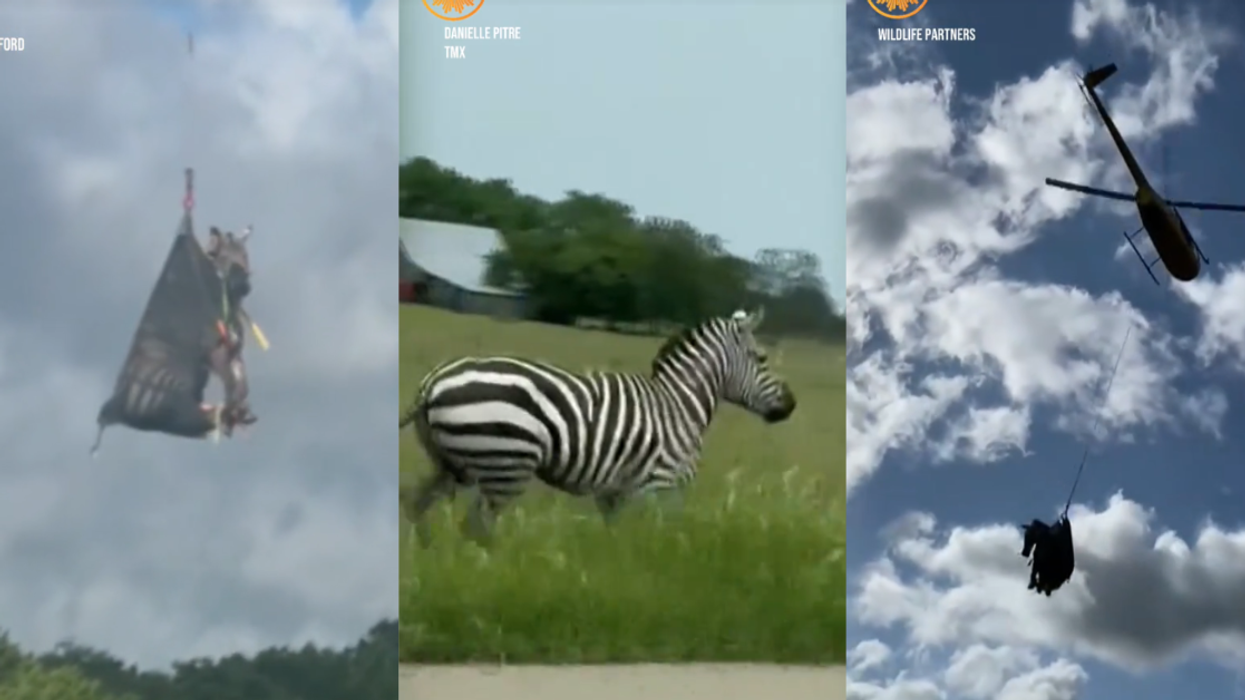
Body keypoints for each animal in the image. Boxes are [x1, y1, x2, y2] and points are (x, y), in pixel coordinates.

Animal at [399, 308, 797, 546]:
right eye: (762, 358)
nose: (791, 404)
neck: (680, 403)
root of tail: (432, 382)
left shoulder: (616, 492)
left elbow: (616, 540)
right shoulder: (661, 485)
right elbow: (655, 540)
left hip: (452, 464)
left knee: (417, 505)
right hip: (506, 464)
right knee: (477, 526)